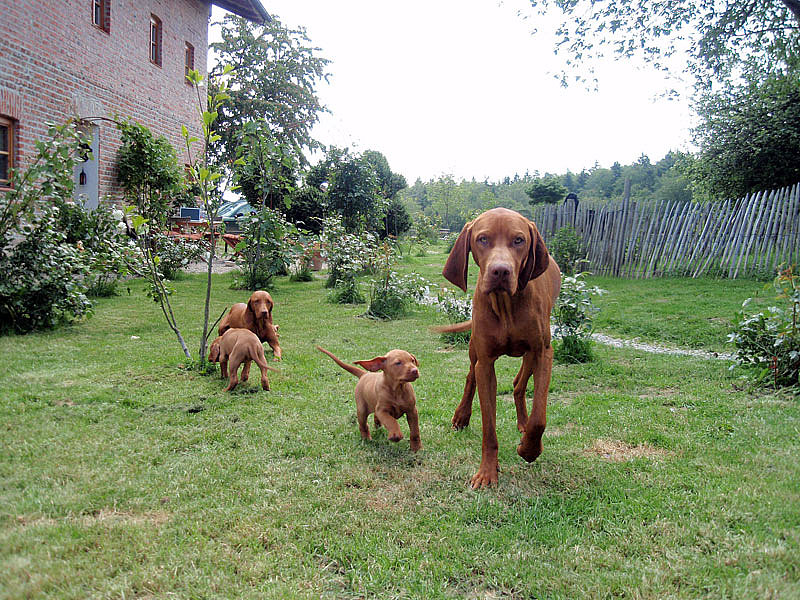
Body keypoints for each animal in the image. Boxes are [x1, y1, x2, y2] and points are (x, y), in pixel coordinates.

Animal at [436, 208, 561, 488]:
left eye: (519, 240)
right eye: (482, 239)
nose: (501, 271)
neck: (506, 305)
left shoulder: (543, 353)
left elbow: (540, 417)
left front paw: (529, 449)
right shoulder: (486, 363)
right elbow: (488, 427)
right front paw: (487, 473)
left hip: (530, 354)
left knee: (518, 385)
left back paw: (523, 425)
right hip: (474, 350)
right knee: (470, 376)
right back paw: (461, 416)